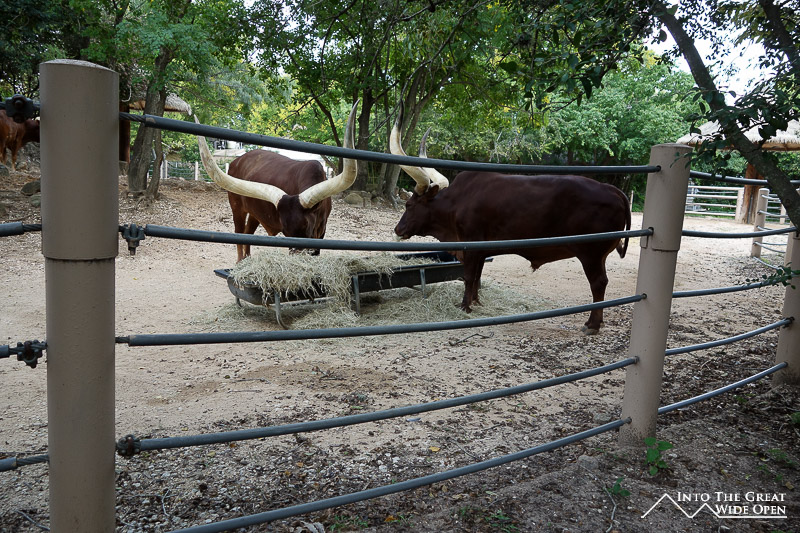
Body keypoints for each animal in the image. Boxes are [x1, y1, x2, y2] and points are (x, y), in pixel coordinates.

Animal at [197, 102, 359, 261]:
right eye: (285, 232)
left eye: (306, 226)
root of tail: (236, 161)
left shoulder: (321, 231)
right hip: (236, 206)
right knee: (239, 232)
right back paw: (240, 262)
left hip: (255, 212)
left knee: (248, 232)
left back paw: (247, 260)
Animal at [389, 119, 631, 334]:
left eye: (409, 205)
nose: (397, 230)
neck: (458, 202)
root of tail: (612, 190)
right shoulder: (481, 250)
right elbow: (477, 277)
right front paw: (476, 302)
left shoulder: (471, 246)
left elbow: (468, 276)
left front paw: (464, 306)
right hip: (598, 256)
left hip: (591, 254)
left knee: (598, 283)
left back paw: (592, 324)